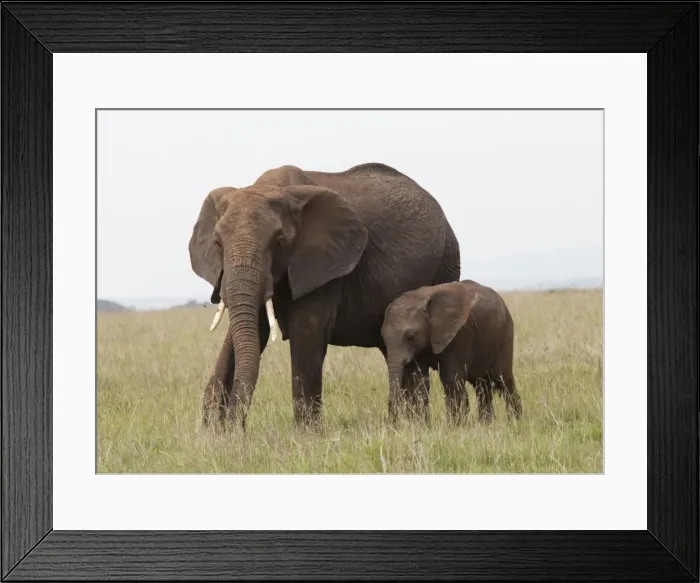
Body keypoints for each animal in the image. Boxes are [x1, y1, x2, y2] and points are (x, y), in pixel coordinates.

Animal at [188, 162, 460, 430]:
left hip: (445, 264)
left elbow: (306, 333)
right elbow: (254, 328)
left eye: (278, 242)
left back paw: (416, 427)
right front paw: (214, 433)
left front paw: (306, 434)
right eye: (217, 243)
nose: (234, 425)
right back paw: (408, 427)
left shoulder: (326, 266)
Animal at [380, 279, 523, 424]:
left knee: (503, 378)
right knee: (482, 386)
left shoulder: (460, 334)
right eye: (383, 337)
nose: (392, 421)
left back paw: (515, 422)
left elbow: (451, 378)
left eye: (410, 336)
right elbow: (418, 382)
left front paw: (456, 426)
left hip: (505, 333)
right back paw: (487, 424)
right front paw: (422, 425)